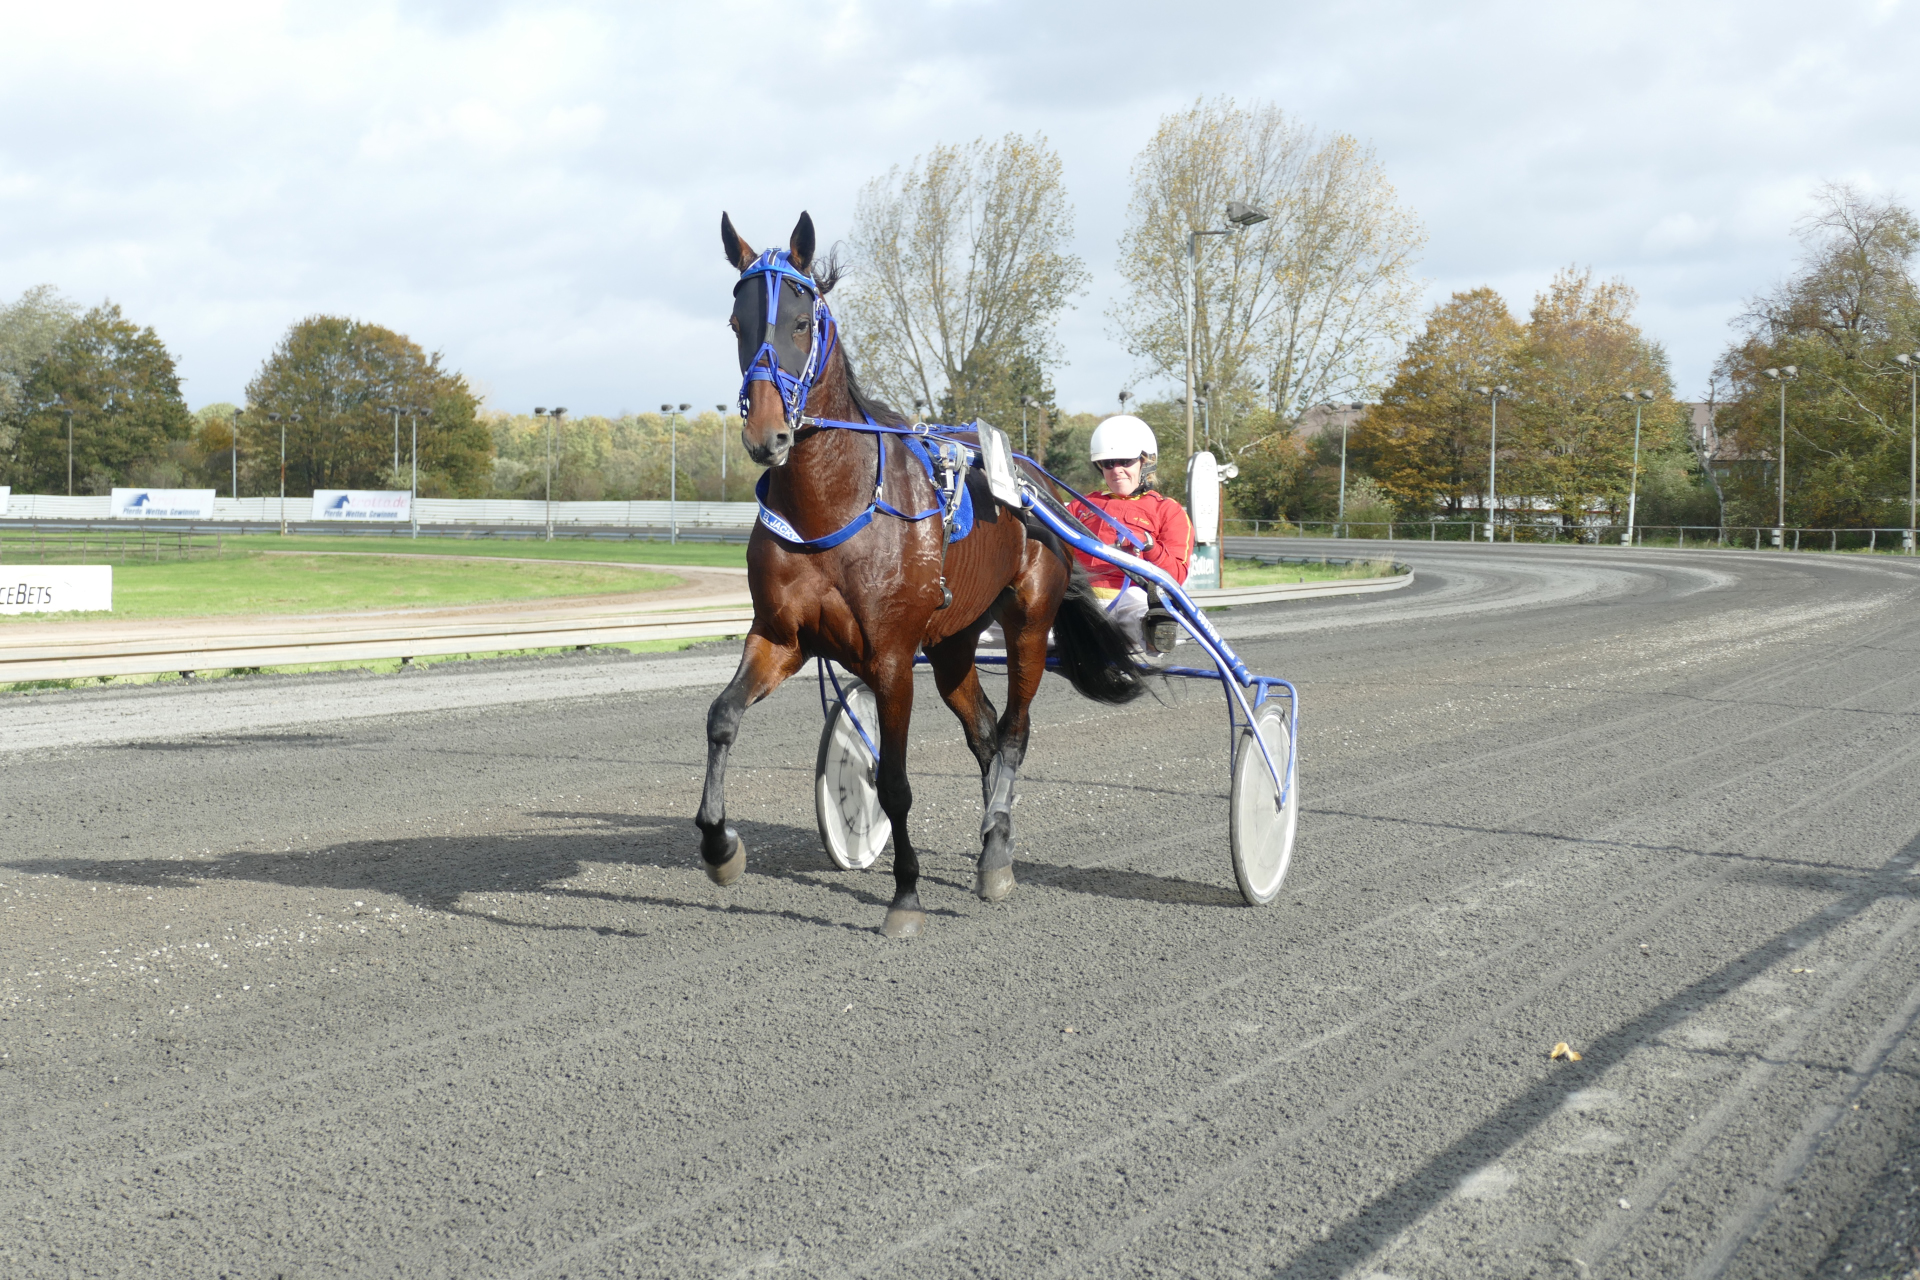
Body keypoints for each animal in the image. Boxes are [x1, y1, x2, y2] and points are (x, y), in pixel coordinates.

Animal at [692, 210, 1145, 937]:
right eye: (739, 322)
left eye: (801, 320)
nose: (767, 437)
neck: (834, 504)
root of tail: (1036, 484)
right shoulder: (781, 638)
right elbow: (721, 719)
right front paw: (720, 847)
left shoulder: (893, 656)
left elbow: (895, 784)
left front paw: (904, 896)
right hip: (955, 641)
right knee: (985, 733)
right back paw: (995, 841)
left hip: (1027, 620)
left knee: (1014, 733)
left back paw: (996, 858)